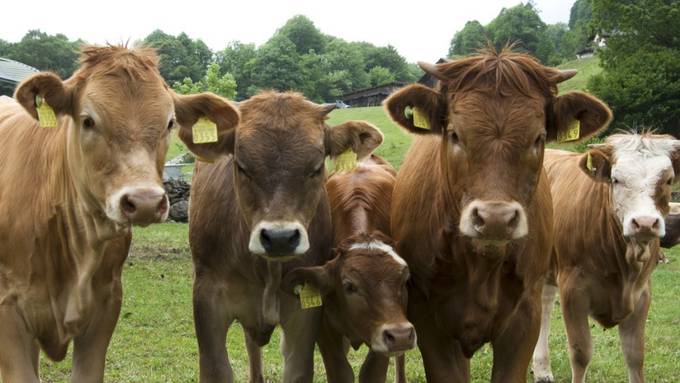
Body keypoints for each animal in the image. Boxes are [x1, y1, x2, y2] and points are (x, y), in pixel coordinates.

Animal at [386, 46, 612, 382]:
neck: (481, 264)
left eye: (539, 137)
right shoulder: (428, 320)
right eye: (454, 134)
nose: (495, 219)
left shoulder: (525, 317)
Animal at [532, 134, 680, 383]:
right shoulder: (573, 289)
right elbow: (581, 353)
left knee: (544, 304)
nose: (645, 223)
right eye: (616, 179)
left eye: (668, 180)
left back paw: (542, 369)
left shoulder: (642, 294)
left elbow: (635, 355)